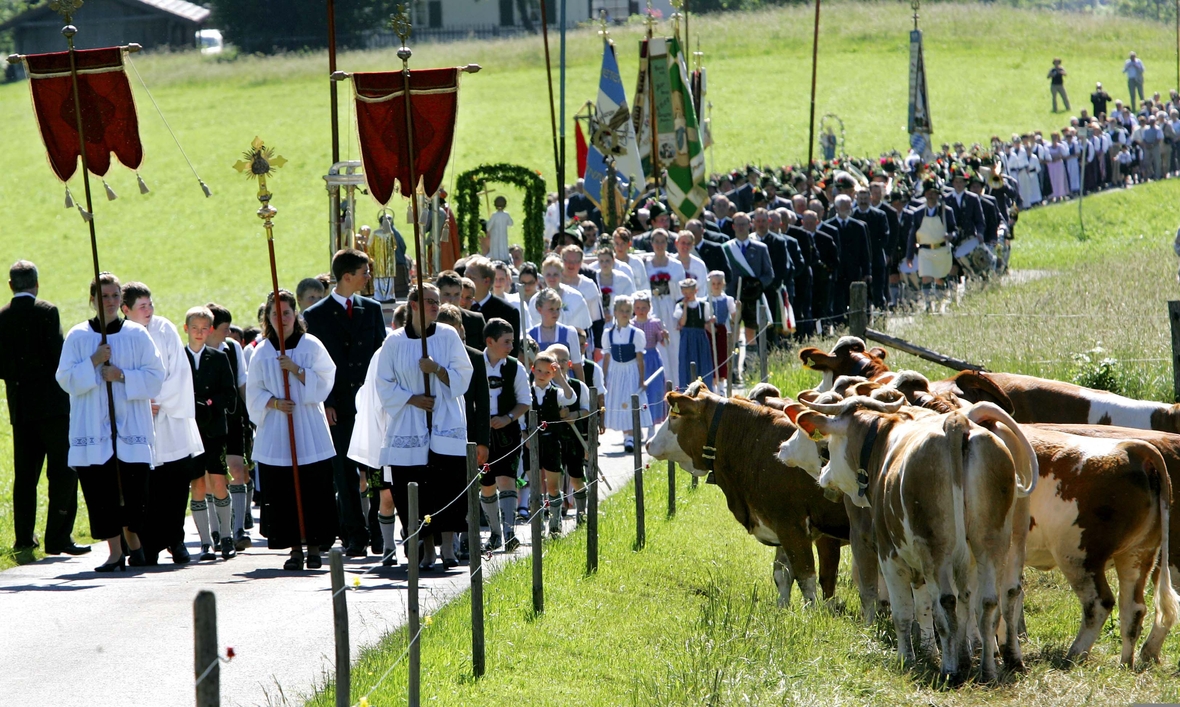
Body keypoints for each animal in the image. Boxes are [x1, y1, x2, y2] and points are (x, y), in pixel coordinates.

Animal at [641, 384, 854, 609]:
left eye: (674, 416)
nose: (648, 444)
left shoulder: (792, 524)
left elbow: (808, 579)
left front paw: (811, 614)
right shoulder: (779, 524)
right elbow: (782, 574)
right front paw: (782, 609)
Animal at [778, 396, 1038, 684]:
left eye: (827, 445)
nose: (824, 475)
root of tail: (957, 422)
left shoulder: (888, 555)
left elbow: (902, 612)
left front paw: (907, 658)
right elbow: (926, 607)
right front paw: (940, 652)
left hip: (938, 550)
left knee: (946, 603)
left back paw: (951, 671)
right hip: (995, 544)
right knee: (993, 600)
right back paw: (990, 668)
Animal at [1014, 424, 1180, 670]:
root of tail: (1134, 449)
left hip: (1078, 555)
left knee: (1100, 603)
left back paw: (1074, 655)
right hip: (1138, 554)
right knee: (1133, 608)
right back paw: (1126, 663)